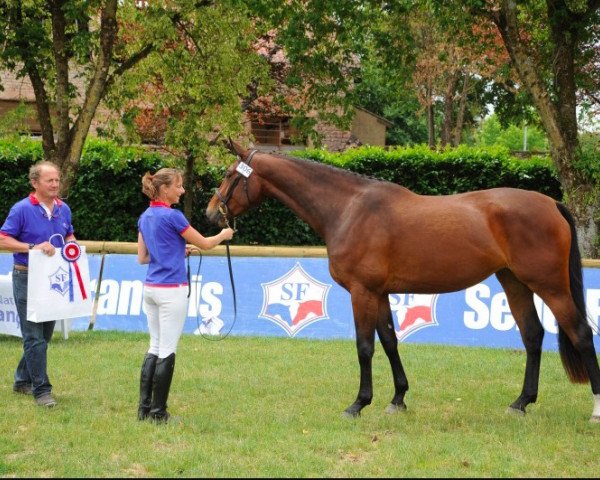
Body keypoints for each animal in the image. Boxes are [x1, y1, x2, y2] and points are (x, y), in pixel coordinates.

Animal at [206, 141, 600, 422]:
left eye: (228, 174)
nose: (211, 214)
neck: (349, 209)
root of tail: (551, 203)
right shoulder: (379, 293)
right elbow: (390, 342)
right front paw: (397, 399)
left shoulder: (362, 293)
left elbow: (365, 346)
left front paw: (358, 404)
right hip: (514, 281)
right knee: (532, 335)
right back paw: (521, 402)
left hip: (550, 285)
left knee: (581, 332)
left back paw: (594, 408)